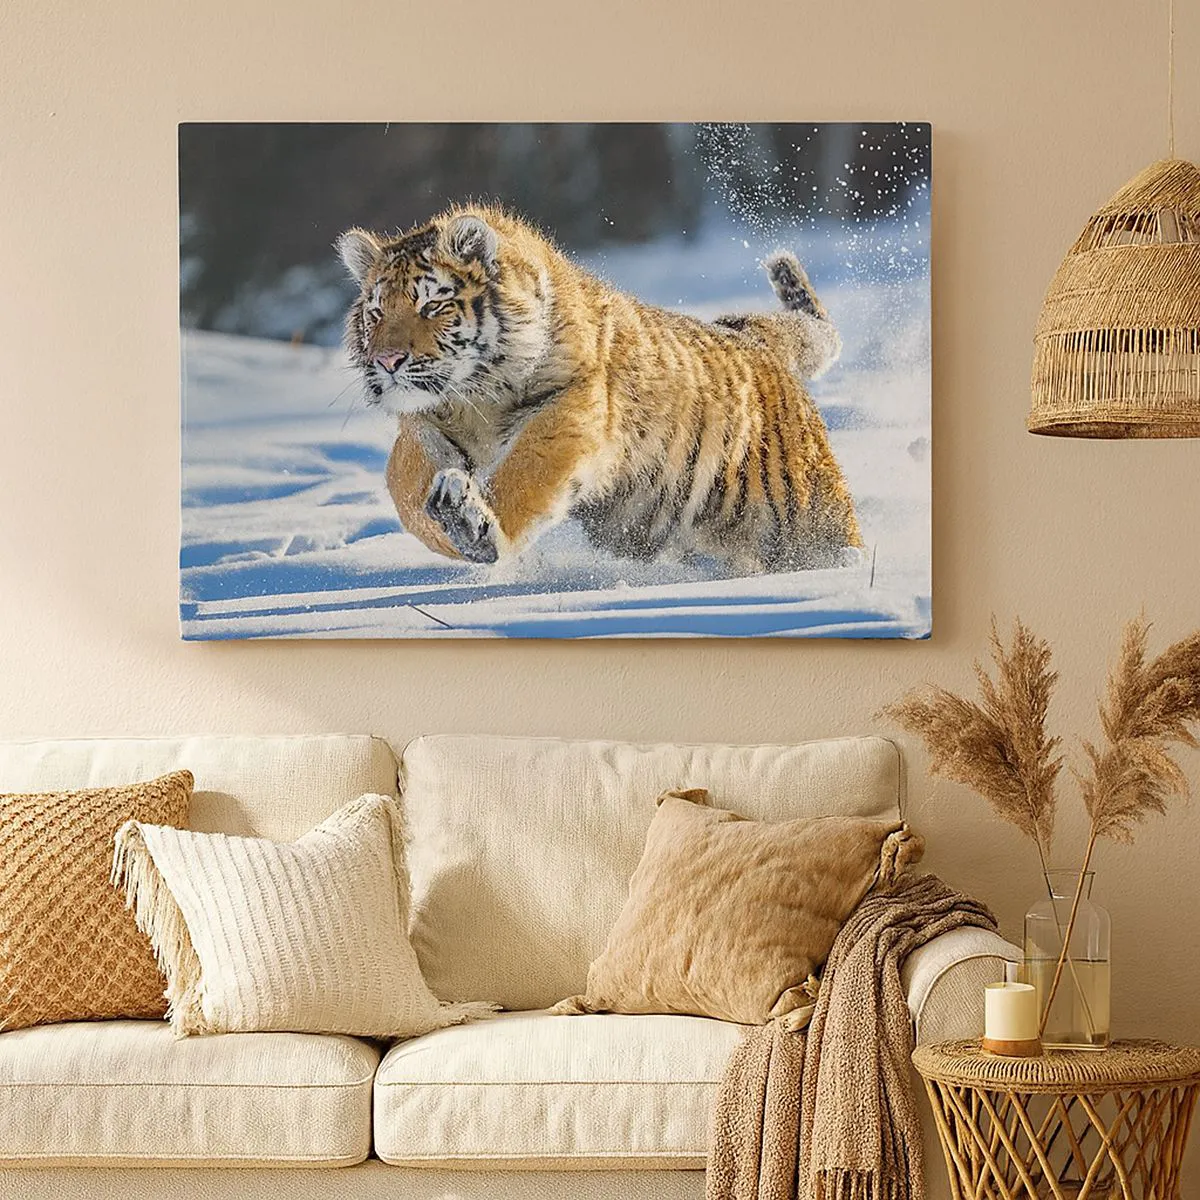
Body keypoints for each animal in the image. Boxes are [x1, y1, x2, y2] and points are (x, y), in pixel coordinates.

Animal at [336, 205, 862, 574]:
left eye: (432, 306)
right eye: (376, 312)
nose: (387, 361)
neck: (475, 398)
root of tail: (756, 337)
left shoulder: (570, 411)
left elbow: (524, 473)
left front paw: (476, 528)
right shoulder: (423, 424)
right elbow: (405, 486)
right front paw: (448, 523)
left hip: (810, 515)